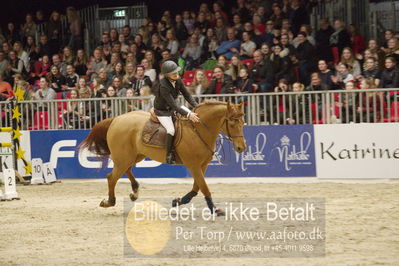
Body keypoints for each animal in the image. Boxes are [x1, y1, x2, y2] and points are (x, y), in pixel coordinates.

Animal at [80, 101, 247, 215]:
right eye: (232, 123)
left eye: (243, 123)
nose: (241, 148)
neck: (198, 130)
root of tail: (116, 119)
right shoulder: (193, 165)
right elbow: (204, 187)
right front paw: (215, 209)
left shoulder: (202, 165)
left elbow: (196, 188)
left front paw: (178, 201)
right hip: (123, 157)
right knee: (112, 177)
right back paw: (109, 201)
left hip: (134, 155)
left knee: (126, 170)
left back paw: (135, 191)